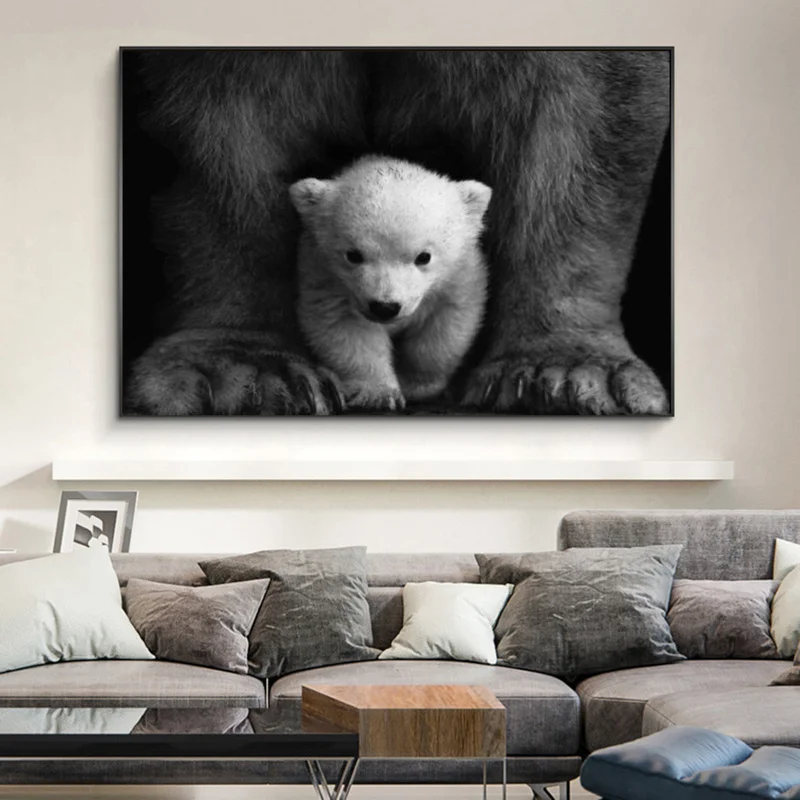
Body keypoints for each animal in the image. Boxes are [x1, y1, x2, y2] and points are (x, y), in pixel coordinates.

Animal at [289, 156, 491, 412]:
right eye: (353, 255)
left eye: (424, 257)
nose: (385, 307)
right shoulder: (325, 279)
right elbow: (346, 330)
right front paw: (379, 393)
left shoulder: (458, 278)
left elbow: (445, 330)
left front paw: (416, 384)